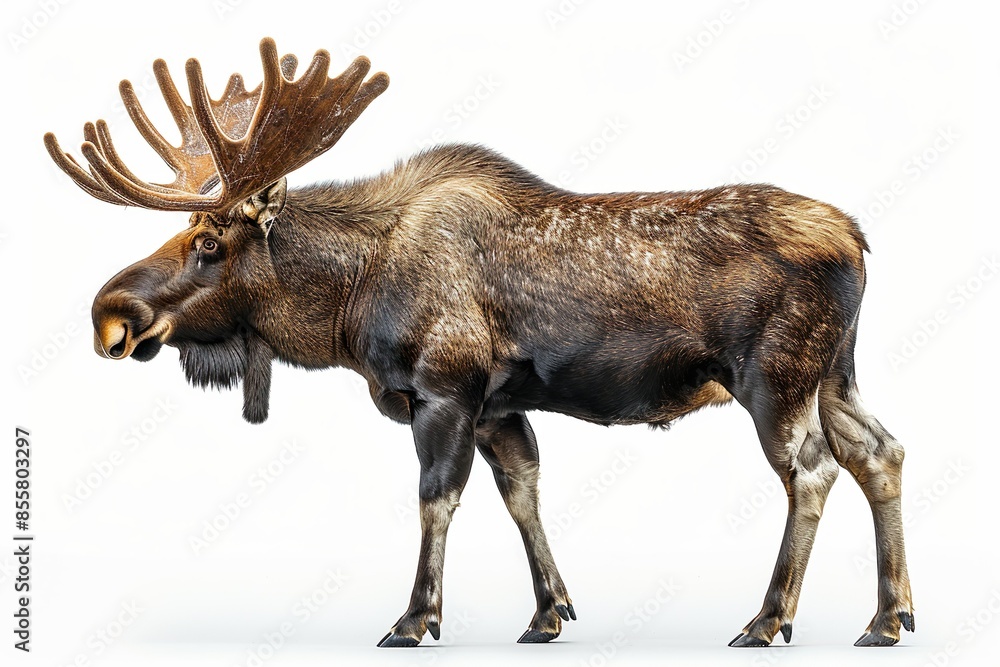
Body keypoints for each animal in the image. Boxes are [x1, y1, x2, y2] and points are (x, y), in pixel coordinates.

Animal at [44, 37, 914, 649]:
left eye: (208, 244)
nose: (109, 314)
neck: (345, 303)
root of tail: (859, 238)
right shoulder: (500, 406)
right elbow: (521, 492)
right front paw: (548, 611)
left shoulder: (444, 388)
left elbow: (437, 496)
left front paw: (414, 616)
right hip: (835, 373)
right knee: (881, 450)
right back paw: (888, 616)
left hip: (775, 373)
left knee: (813, 468)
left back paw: (769, 618)